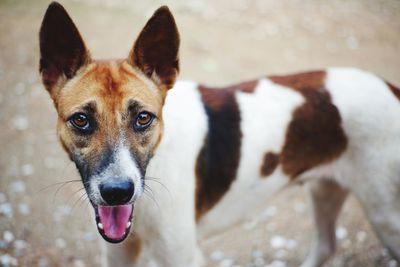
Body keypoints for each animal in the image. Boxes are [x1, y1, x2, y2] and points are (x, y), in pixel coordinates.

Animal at [38, 2, 400, 267]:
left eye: (143, 118)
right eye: (81, 120)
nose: (117, 192)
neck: (156, 165)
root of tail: (390, 87)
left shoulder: (182, 255)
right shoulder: (118, 251)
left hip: (385, 215)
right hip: (326, 189)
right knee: (326, 245)